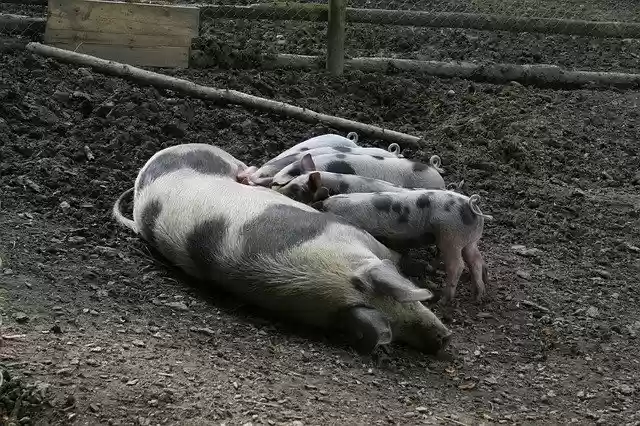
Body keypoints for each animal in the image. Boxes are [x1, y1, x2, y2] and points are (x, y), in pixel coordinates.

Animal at [312, 190, 494, 304]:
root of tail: (470, 206)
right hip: (468, 240)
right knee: (475, 261)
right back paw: (478, 297)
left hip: (451, 237)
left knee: (457, 265)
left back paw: (444, 301)